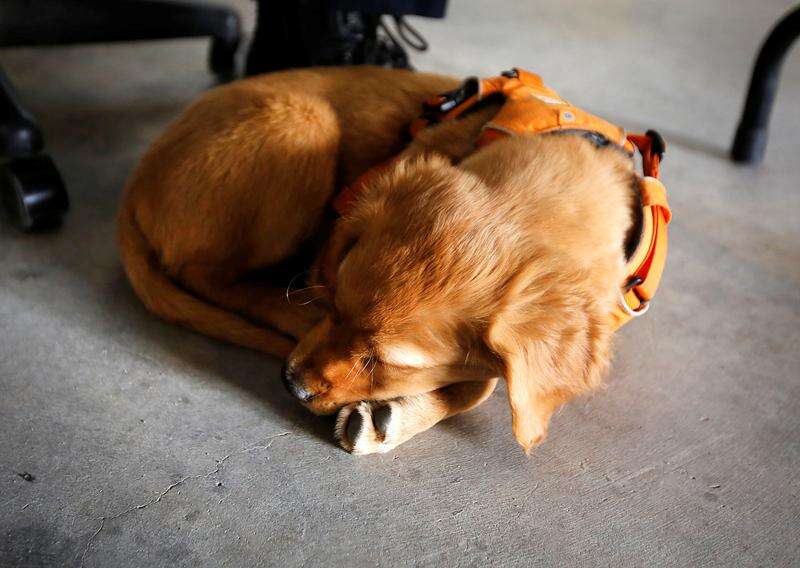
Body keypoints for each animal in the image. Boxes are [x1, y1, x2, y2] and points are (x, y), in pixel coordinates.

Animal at [117, 66, 668, 454]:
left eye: (383, 361)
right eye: (335, 304)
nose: (291, 384)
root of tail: (137, 180)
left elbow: (485, 380)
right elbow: (483, 382)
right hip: (304, 124)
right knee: (201, 273)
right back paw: (287, 311)